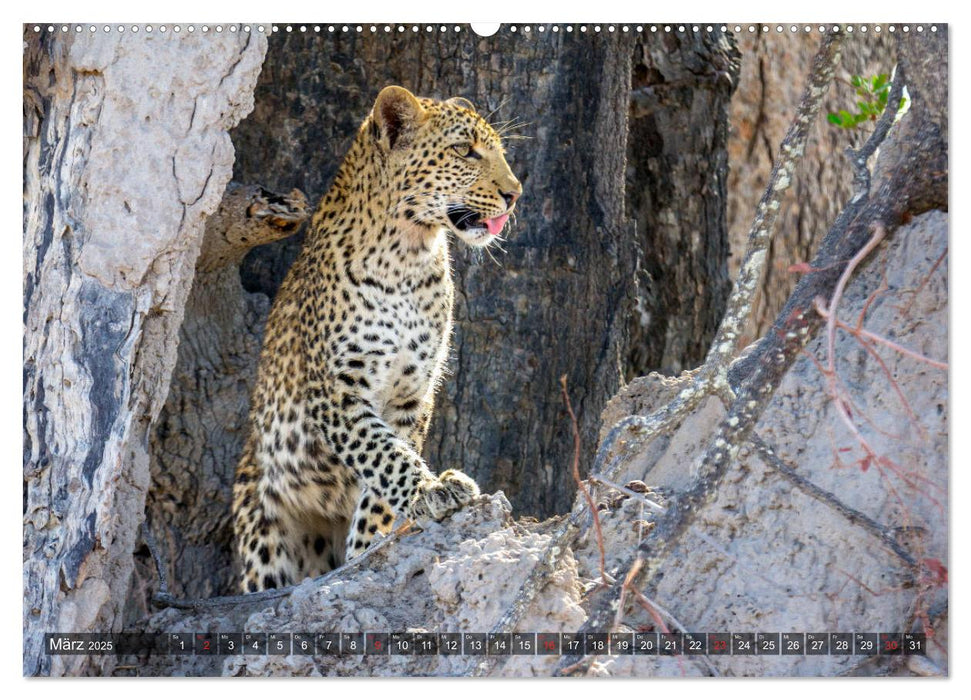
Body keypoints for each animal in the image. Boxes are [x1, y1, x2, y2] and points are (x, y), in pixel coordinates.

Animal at [234, 85, 524, 592]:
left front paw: (372, 542)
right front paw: (433, 488)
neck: (408, 254)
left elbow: (389, 463)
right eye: (464, 150)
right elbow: (382, 453)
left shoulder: (412, 394)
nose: (515, 194)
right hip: (262, 534)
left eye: (499, 152)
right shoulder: (338, 390)